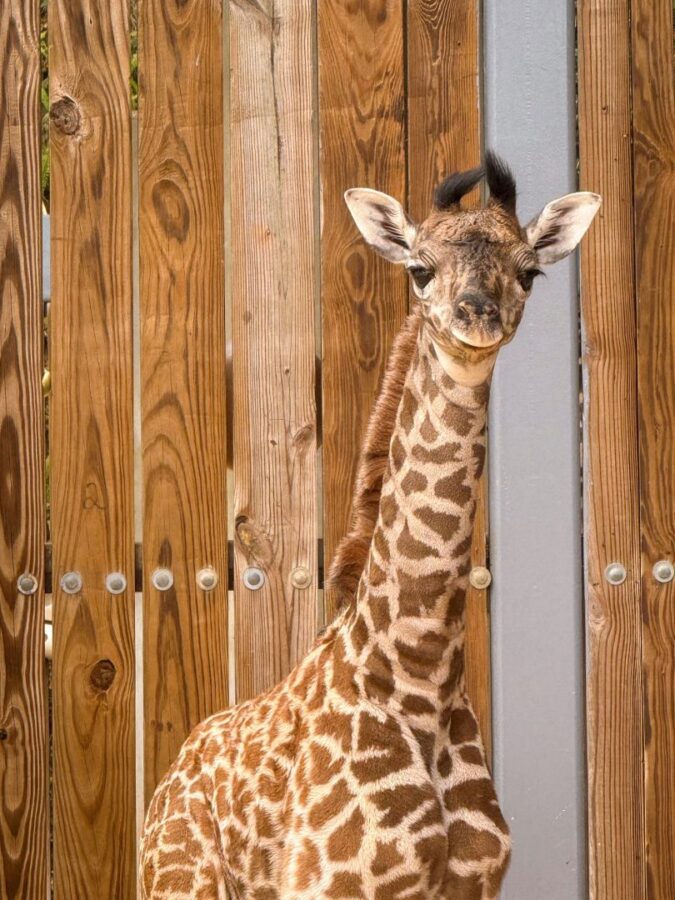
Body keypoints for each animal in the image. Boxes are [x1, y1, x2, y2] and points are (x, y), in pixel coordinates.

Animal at [139, 152, 601, 899]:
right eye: (419, 269)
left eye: (529, 270)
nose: (478, 317)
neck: (419, 670)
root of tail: (172, 770)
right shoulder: (328, 882)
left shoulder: (471, 883)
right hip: (182, 880)